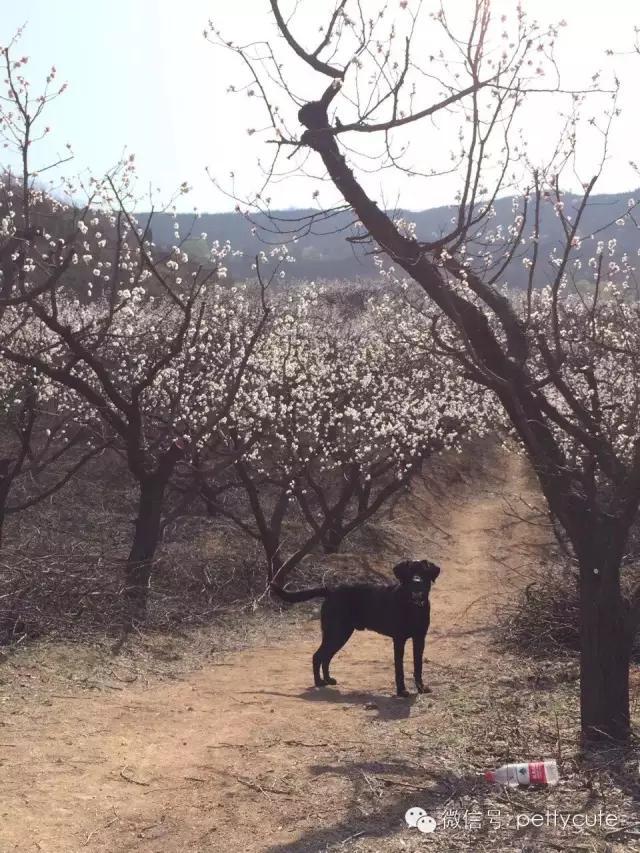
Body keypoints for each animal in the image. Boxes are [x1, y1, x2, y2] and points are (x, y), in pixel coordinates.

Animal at [270, 560, 440, 700]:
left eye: (424, 572)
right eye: (409, 572)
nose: (417, 582)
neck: (413, 606)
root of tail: (331, 590)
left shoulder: (420, 638)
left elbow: (418, 665)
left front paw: (421, 688)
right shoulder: (399, 640)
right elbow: (400, 669)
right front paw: (401, 691)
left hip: (340, 635)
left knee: (326, 657)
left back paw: (328, 679)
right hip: (336, 633)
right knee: (318, 656)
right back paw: (319, 682)